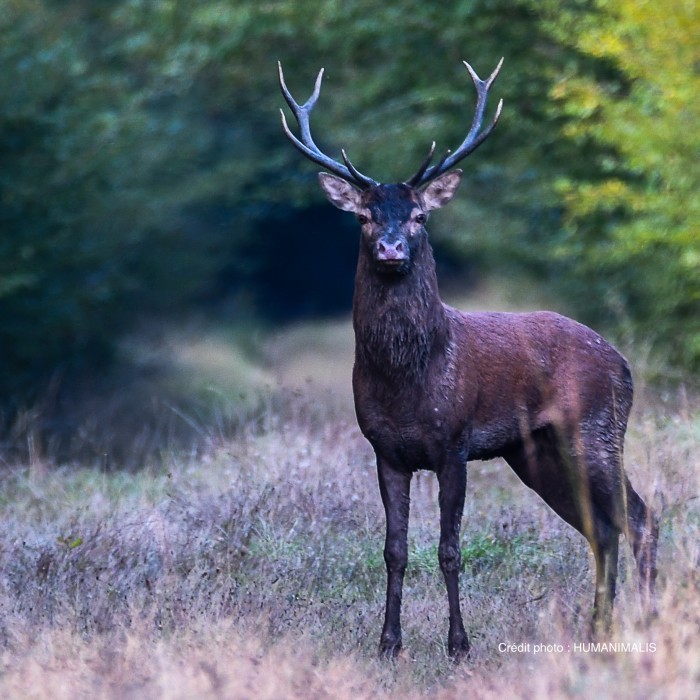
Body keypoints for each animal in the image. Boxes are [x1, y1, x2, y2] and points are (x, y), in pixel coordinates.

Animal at [278, 59, 658, 659]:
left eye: (419, 216)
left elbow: (450, 549)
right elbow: (394, 550)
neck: (410, 377)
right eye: (363, 216)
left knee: (640, 519)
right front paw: (389, 643)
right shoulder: (385, 450)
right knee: (602, 528)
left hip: (597, 428)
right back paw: (599, 628)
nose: (391, 249)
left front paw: (458, 643)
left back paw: (645, 621)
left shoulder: (454, 443)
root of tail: (623, 362)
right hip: (535, 452)